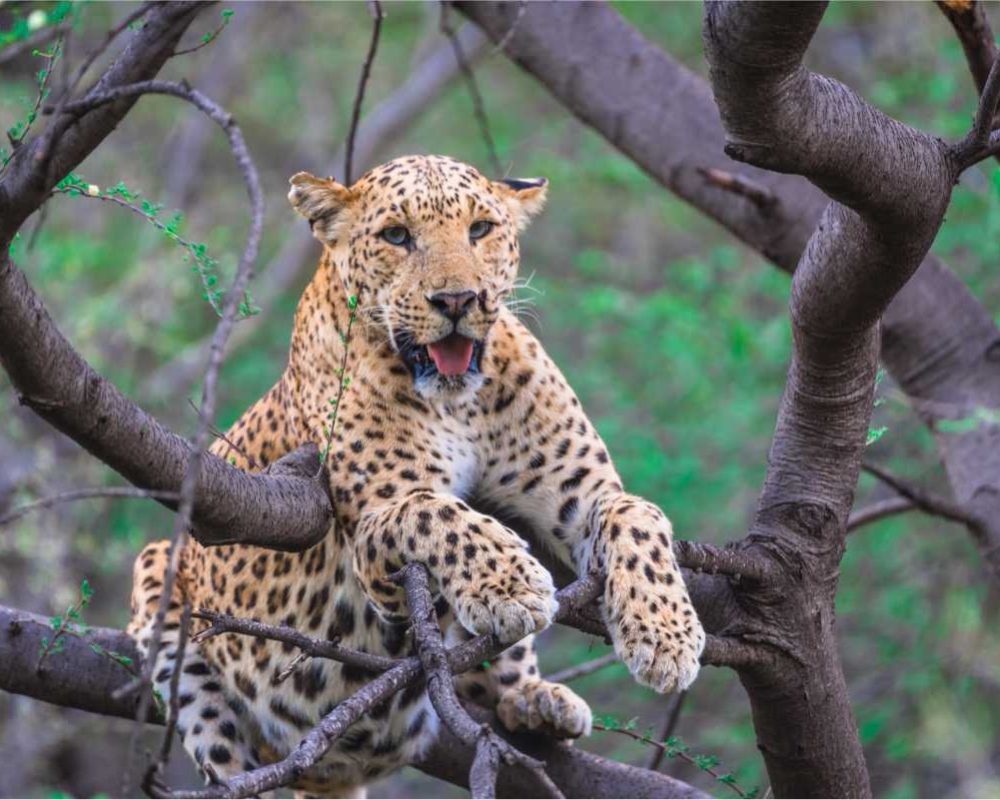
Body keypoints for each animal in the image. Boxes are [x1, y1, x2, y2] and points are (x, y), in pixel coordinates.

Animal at [127, 154, 705, 797]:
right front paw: (513, 584)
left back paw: (537, 702)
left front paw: (666, 637)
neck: (461, 404)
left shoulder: (583, 496)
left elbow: (639, 514)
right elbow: (439, 512)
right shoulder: (377, 540)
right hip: (163, 574)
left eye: (481, 229)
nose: (457, 299)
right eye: (397, 236)